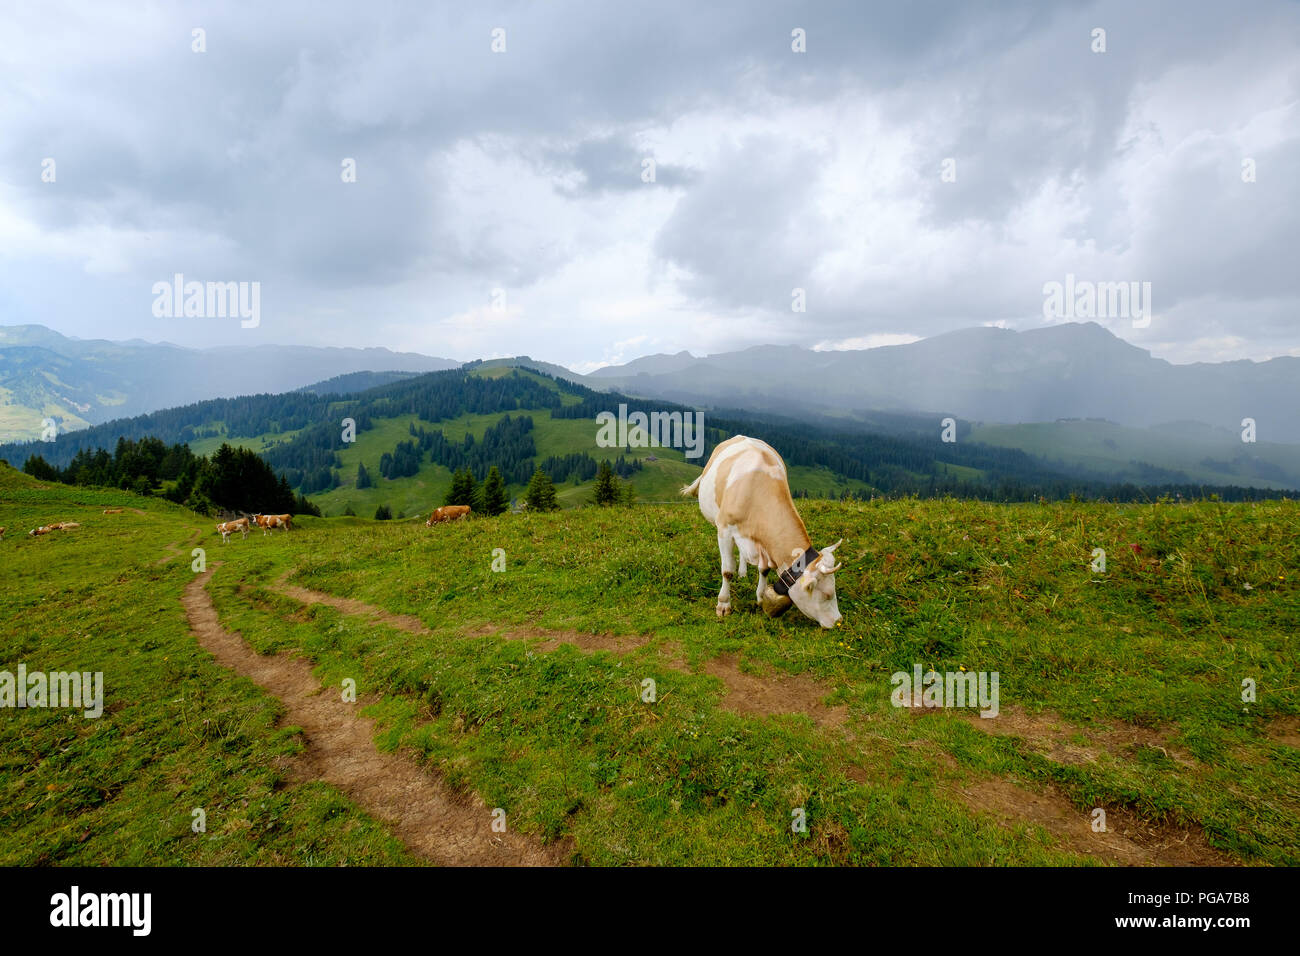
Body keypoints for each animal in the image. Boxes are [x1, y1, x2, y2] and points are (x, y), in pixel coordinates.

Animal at [681, 435, 844, 629]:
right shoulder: (725, 530)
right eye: (827, 594)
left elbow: (764, 569)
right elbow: (727, 570)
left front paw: (760, 597)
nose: (839, 620)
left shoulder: (763, 543)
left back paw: (743, 572)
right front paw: (723, 604)